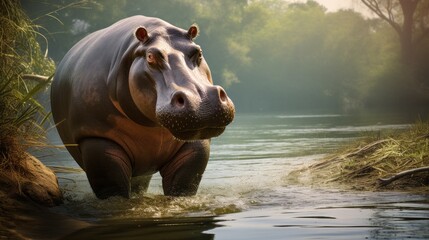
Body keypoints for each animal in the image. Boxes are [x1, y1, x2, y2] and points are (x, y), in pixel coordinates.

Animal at [51, 15, 236, 199]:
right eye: (150, 56)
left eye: (199, 52)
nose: (202, 101)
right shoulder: (96, 139)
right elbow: (113, 191)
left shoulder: (194, 146)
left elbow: (183, 186)